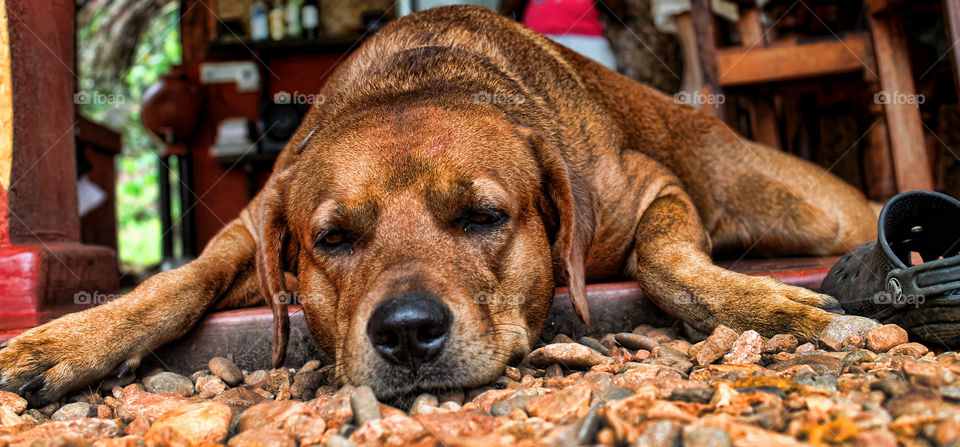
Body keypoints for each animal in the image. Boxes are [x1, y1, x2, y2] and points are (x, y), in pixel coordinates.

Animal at [0, 6, 880, 406]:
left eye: (483, 218)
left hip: (809, 205)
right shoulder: (252, 226)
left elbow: (668, 262)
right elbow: (175, 280)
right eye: (333, 238)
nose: (407, 332)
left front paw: (775, 308)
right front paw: (68, 339)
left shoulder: (649, 188)